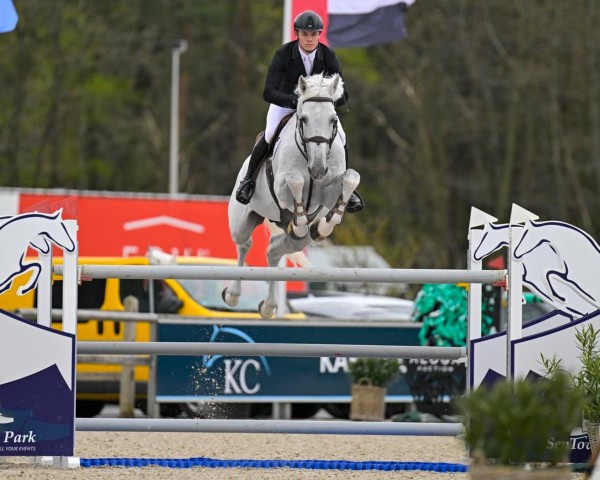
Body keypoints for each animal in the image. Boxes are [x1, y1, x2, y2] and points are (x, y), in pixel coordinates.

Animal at [223, 73, 358, 316]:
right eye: (303, 119)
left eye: (333, 120)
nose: (318, 169)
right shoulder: (281, 186)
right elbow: (296, 180)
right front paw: (303, 220)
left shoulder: (329, 191)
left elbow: (351, 178)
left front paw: (323, 226)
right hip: (241, 222)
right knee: (244, 245)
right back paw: (233, 294)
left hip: (296, 241)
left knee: (275, 249)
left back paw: (269, 306)